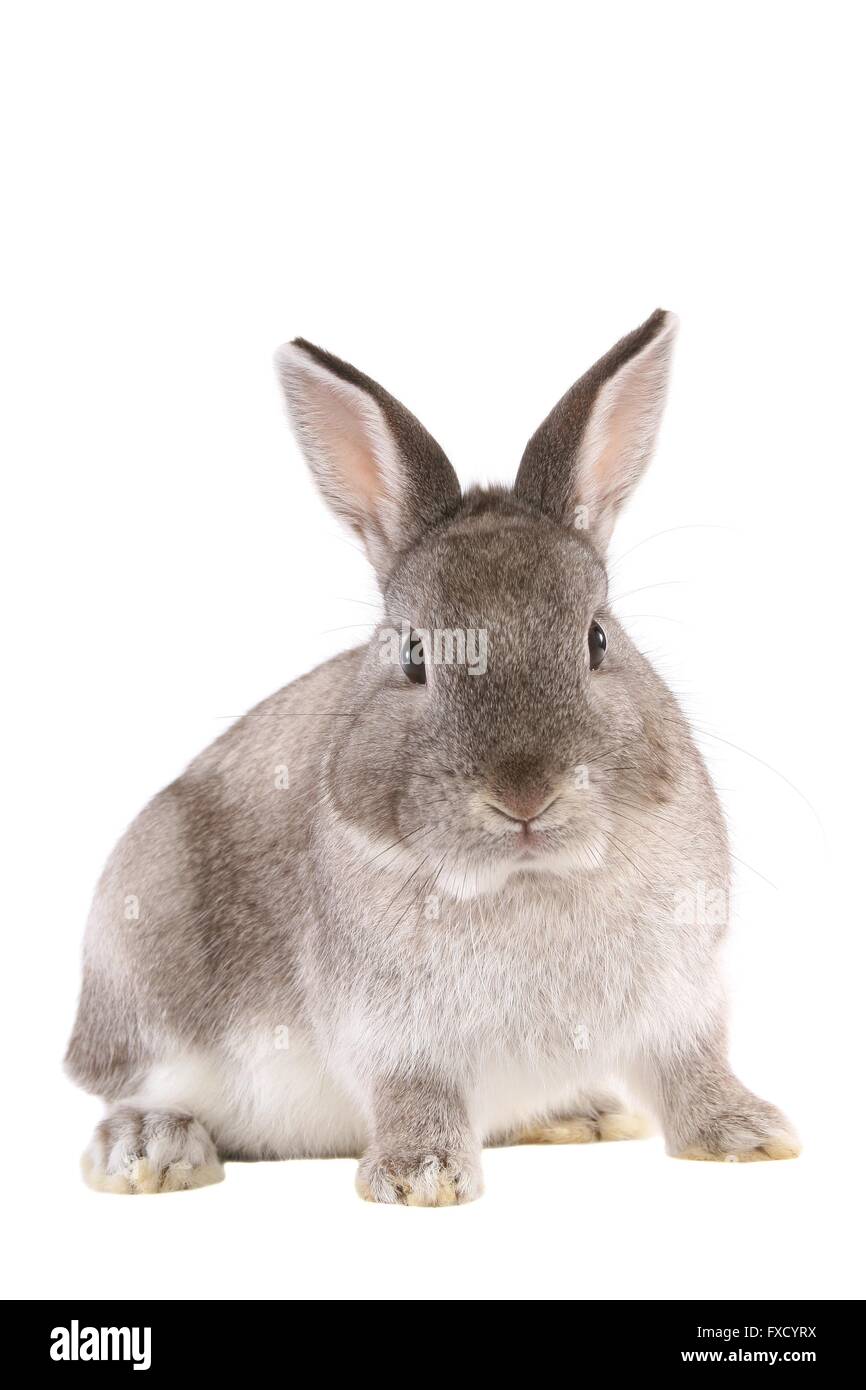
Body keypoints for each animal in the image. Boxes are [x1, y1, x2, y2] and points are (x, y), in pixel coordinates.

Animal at [66, 309, 799, 1203]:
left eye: (597, 639)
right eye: (415, 655)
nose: (525, 795)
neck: (526, 881)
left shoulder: (682, 1003)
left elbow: (693, 1067)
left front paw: (748, 1137)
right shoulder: (394, 1035)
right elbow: (416, 1092)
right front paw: (420, 1180)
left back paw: (579, 1114)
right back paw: (150, 1151)